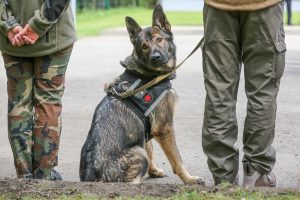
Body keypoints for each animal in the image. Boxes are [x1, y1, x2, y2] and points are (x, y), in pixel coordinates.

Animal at [79, 3, 204, 185]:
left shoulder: (148, 126)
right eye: (144, 46)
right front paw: (189, 179)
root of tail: (91, 178)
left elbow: (151, 148)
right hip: (139, 152)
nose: (155, 57)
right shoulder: (164, 127)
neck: (148, 74)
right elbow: (177, 160)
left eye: (159, 39)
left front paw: (154, 171)